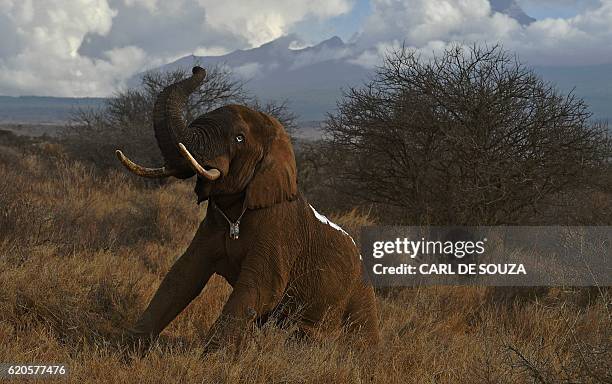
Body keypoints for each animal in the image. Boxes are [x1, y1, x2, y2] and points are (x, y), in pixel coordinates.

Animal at [116, 67, 378, 352]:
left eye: (239, 138)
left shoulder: (280, 230)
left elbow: (262, 286)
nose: (198, 69)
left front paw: (211, 357)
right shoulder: (211, 226)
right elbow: (183, 275)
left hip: (360, 294)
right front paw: (128, 349)